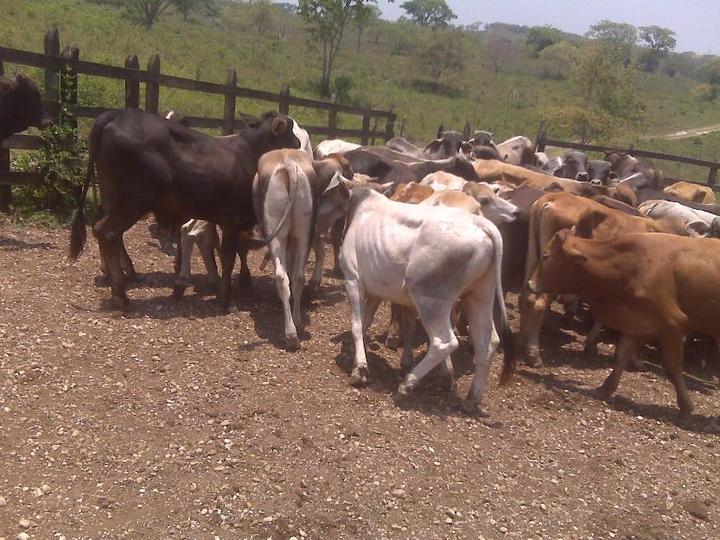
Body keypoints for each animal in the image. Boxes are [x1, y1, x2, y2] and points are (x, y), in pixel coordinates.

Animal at [69, 108, 300, 308]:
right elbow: (228, 257)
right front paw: (226, 297)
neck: (251, 153)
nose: (298, 143)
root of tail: (116, 115)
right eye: (289, 129)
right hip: (130, 203)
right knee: (106, 232)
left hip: (112, 198)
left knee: (109, 233)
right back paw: (120, 294)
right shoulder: (232, 219)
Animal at [340, 189, 516, 410]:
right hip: (480, 295)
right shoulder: (374, 292)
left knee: (444, 342)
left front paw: (359, 370)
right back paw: (471, 399)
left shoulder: (352, 278)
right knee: (488, 341)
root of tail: (482, 224)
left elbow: (356, 324)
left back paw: (406, 385)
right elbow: (365, 323)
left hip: (429, 298)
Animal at [524, 231, 720, 422]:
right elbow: (621, 356)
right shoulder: (635, 322)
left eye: (545, 255)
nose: (529, 284)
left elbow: (673, 369)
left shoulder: (672, 324)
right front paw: (606, 388)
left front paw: (685, 408)